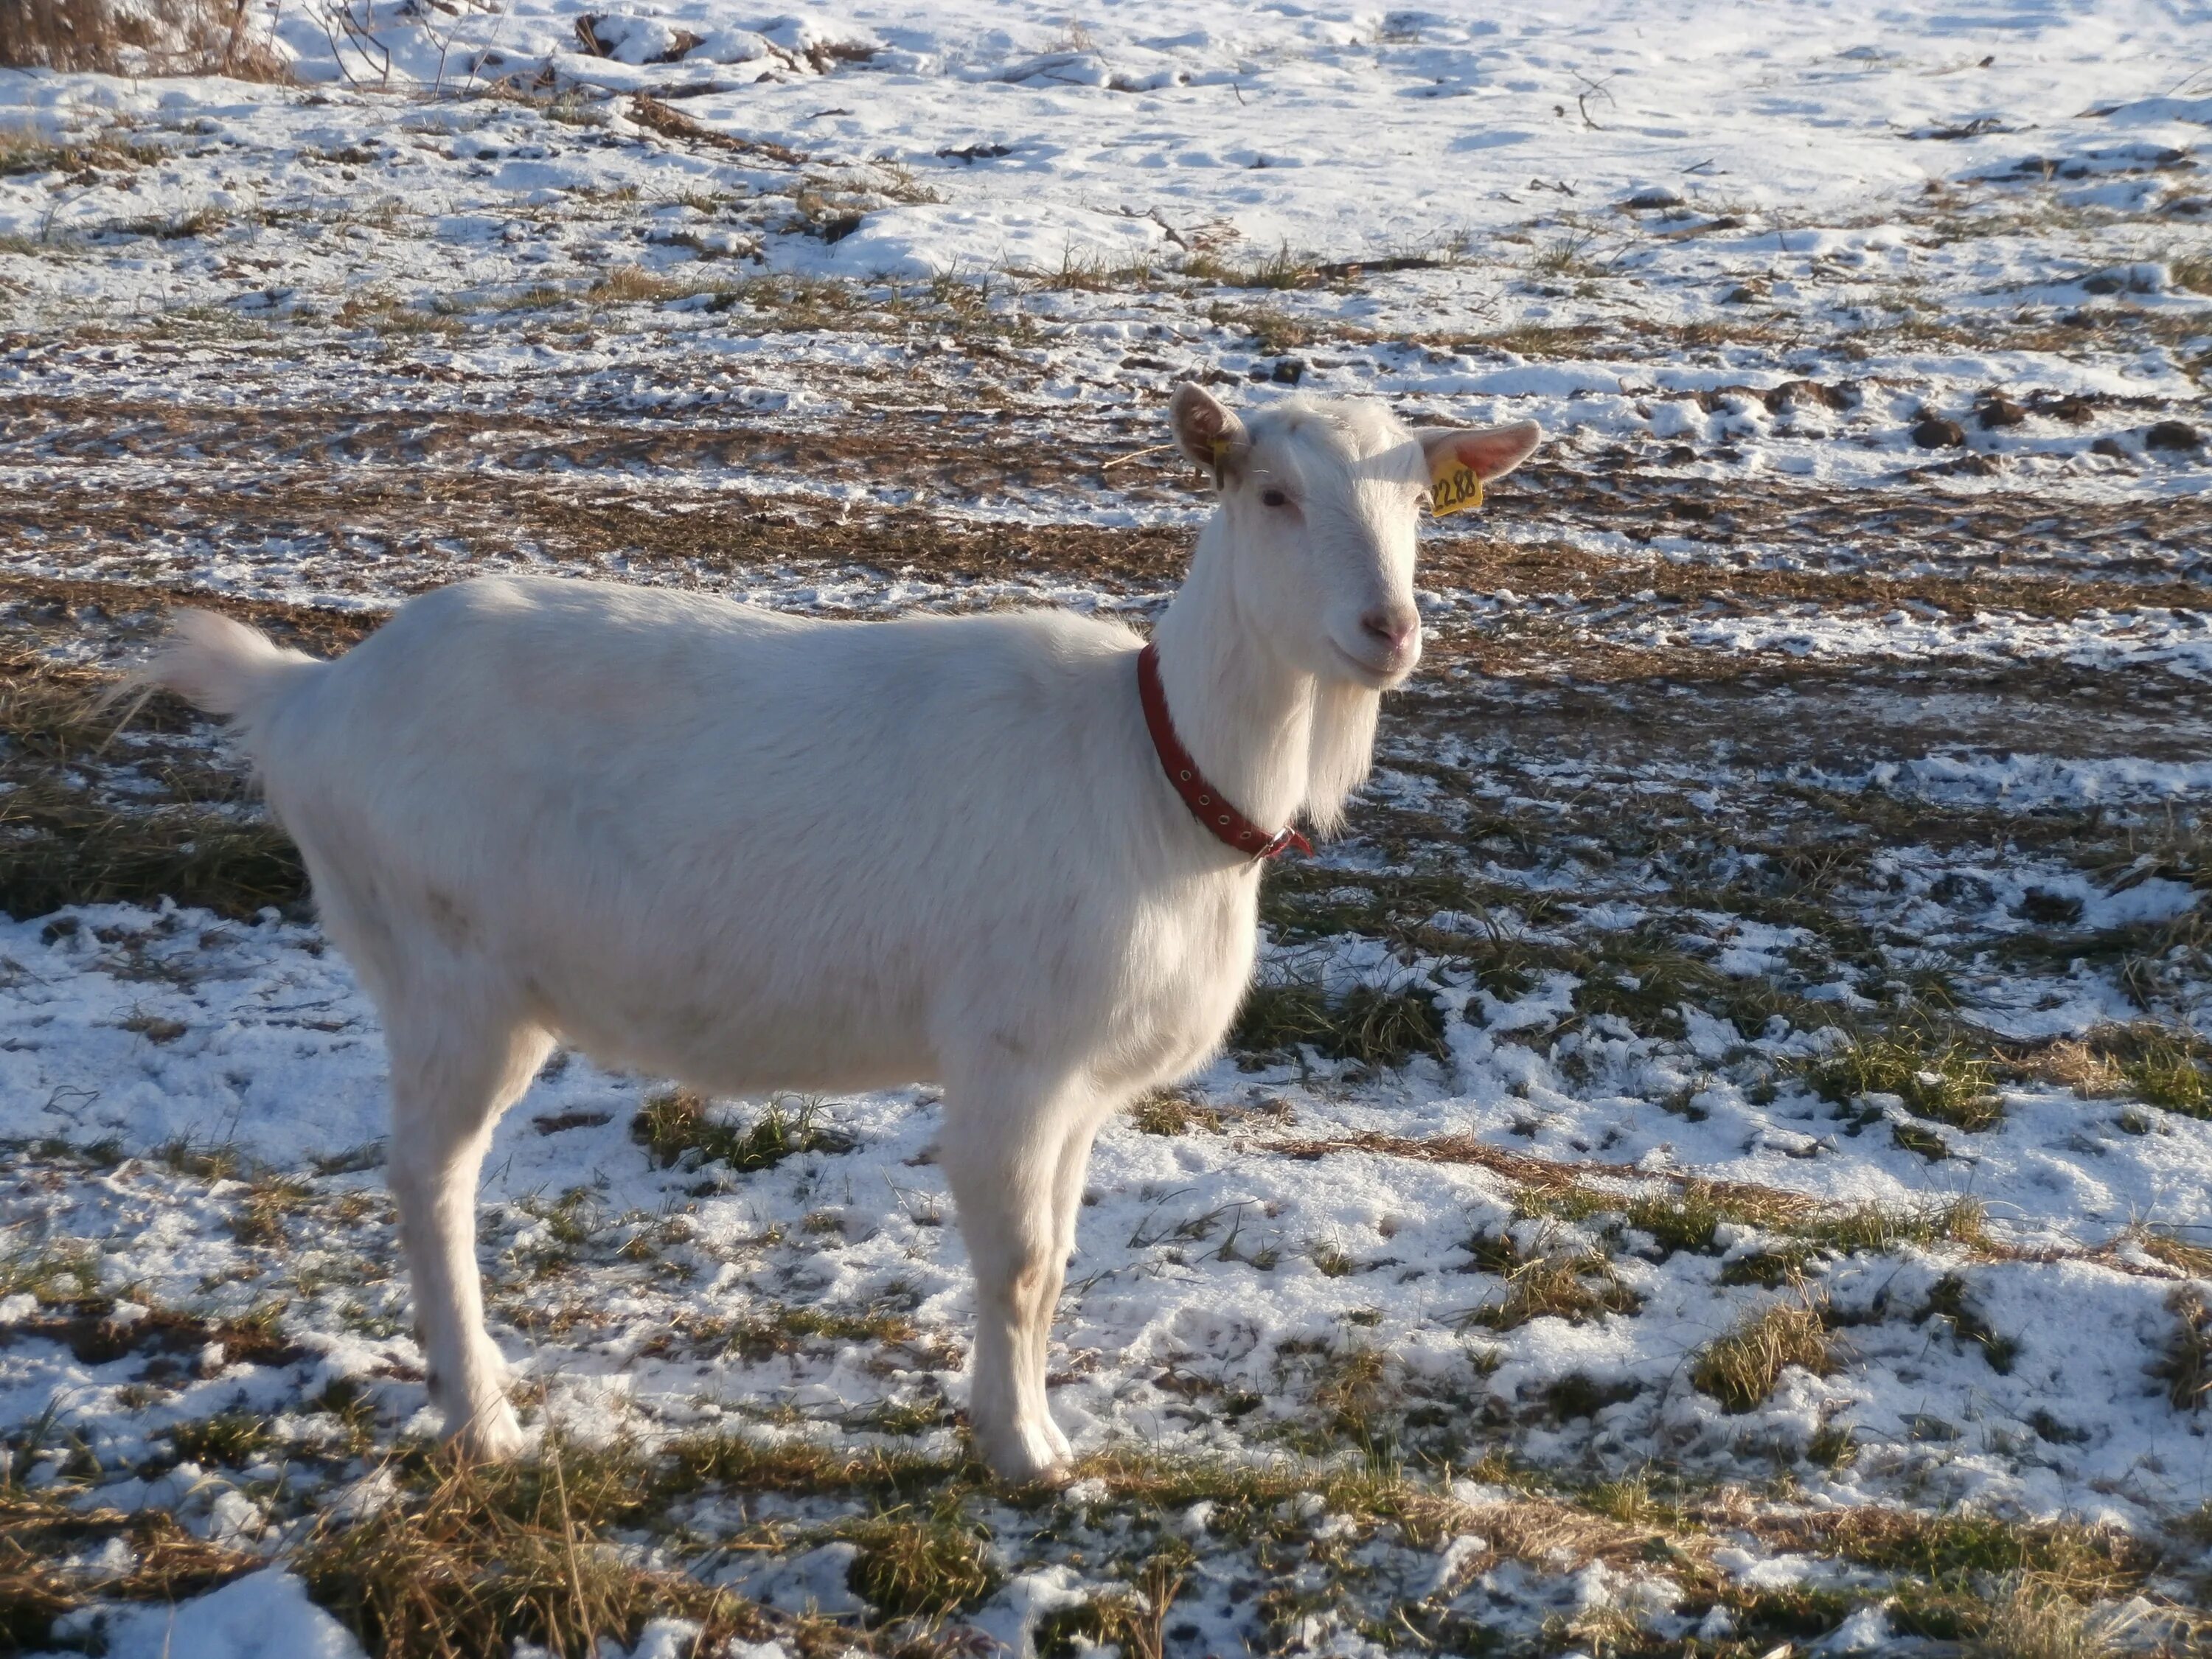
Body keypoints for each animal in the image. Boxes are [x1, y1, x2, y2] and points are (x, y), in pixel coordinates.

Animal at [147, 389, 1548, 1478]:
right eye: (1269, 491)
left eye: (1420, 502)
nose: (1389, 630)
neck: (1155, 775)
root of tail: (309, 695)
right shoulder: (1006, 1053)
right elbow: (1020, 1264)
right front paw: (1026, 1455)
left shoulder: (1083, 1081)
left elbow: (1057, 1258)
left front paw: (1026, 1426)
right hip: (452, 970)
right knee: (428, 1178)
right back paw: (481, 1419)